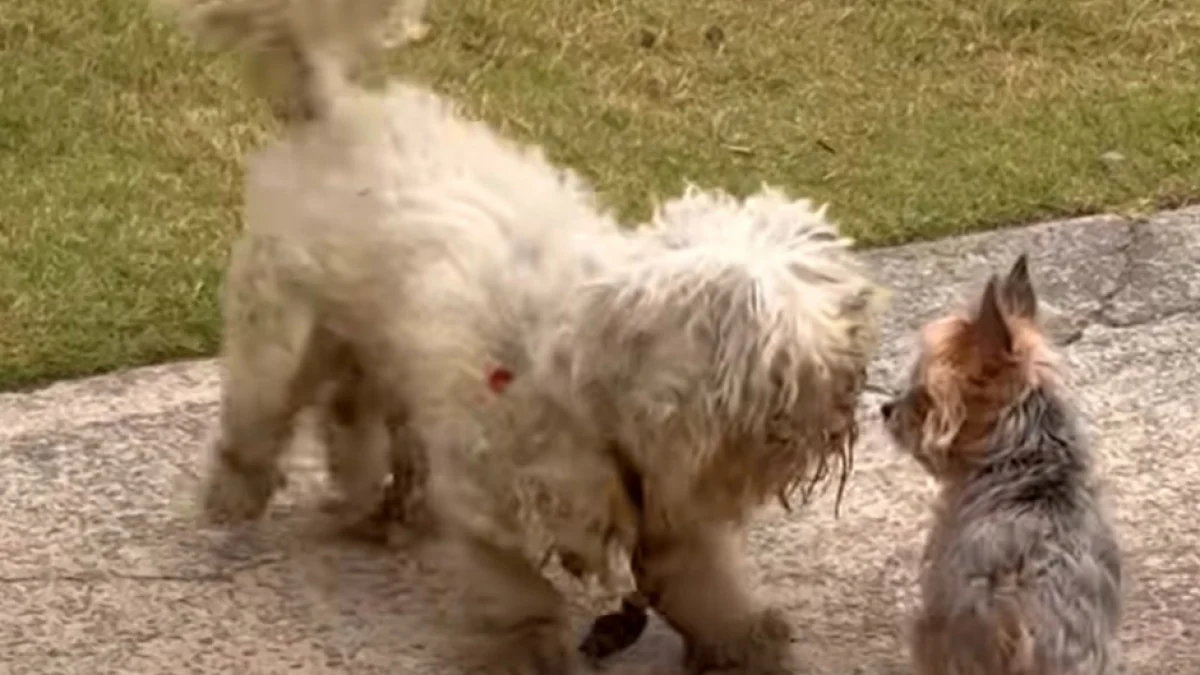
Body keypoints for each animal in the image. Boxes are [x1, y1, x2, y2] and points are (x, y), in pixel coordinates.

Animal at [164, 2, 888, 667]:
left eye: (846, 303)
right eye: (782, 362)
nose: (853, 383)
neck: (591, 395)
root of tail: (332, 106)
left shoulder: (669, 511)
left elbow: (707, 583)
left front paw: (743, 642)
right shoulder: (492, 501)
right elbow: (516, 591)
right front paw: (528, 649)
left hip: (373, 344)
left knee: (351, 412)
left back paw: (376, 502)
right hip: (283, 332)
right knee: (264, 413)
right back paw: (240, 494)